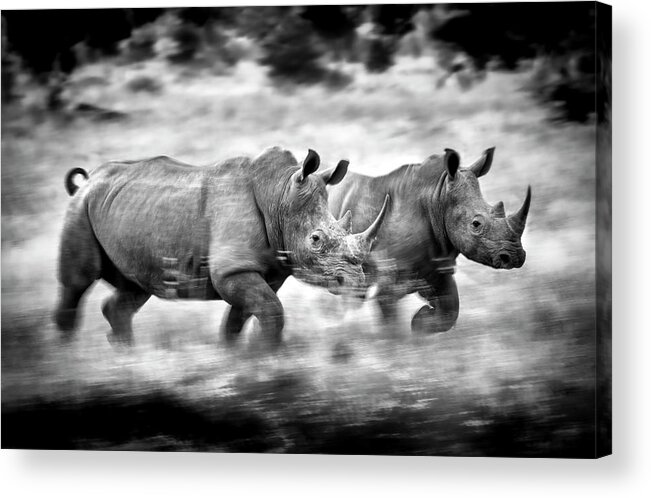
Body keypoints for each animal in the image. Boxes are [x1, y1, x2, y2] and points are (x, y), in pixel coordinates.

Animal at [54, 146, 388, 344]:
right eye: (316, 240)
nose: (358, 287)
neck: (279, 195)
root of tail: (89, 179)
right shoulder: (233, 270)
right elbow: (271, 311)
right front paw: (269, 358)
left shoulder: (260, 271)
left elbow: (238, 321)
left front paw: (239, 360)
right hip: (80, 208)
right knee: (76, 283)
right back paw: (67, 360)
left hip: (124, 213)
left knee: (134, 289)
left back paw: (127, 357)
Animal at [328, 148, 532, 334]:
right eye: (476, 224)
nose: (515, 257)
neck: (437, 197)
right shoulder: (388, 276)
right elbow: (390, 322)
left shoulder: (437, 265)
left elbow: (450, 310)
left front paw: (421, 322)